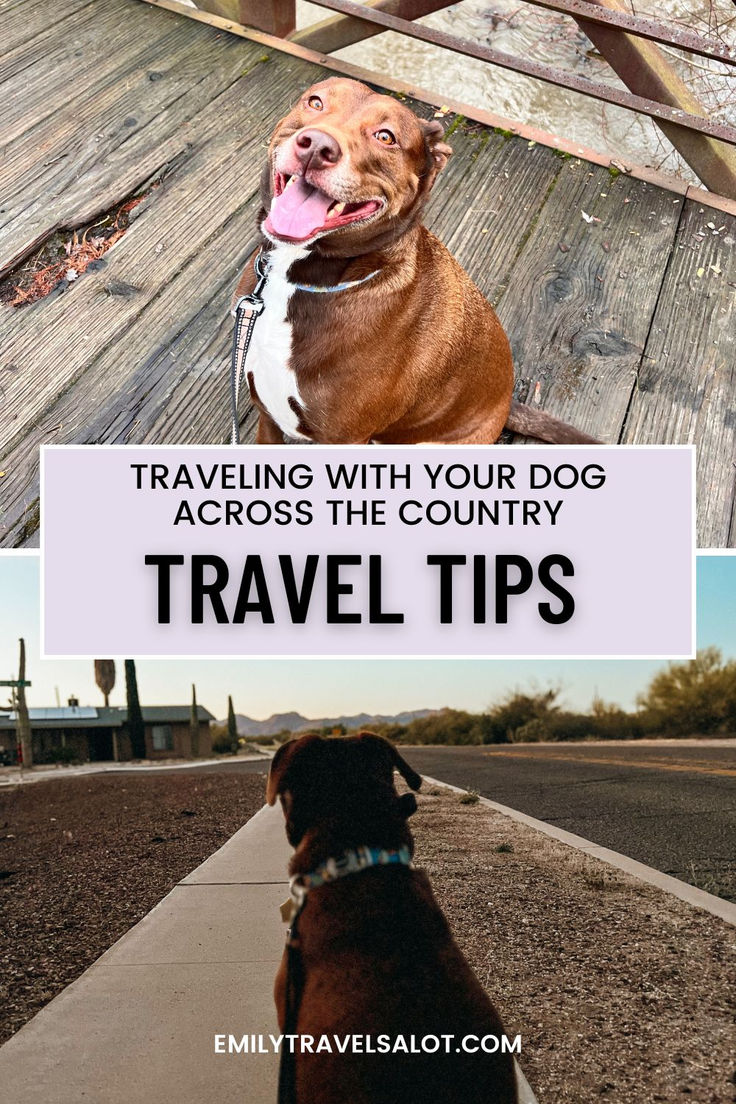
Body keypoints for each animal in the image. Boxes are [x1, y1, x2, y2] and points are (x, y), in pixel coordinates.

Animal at [232, 74, 595, 448]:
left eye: (385, 137)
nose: (316, 146)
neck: (297, 278)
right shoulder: (267, 418)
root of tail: (507, 404)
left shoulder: (341, 439)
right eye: (315, 102)